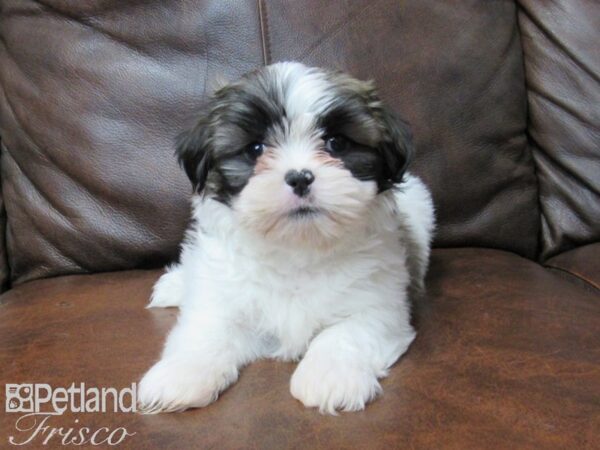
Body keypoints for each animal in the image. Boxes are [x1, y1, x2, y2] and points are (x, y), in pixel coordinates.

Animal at [138, 61, 434, 414]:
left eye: (336, 143)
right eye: (256, 149)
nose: (300, 177)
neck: (297, 248)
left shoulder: (381, 305)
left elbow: (346, 333)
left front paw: (329, 377)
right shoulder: (221, 297)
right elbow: (207, 330)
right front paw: (181, 374)